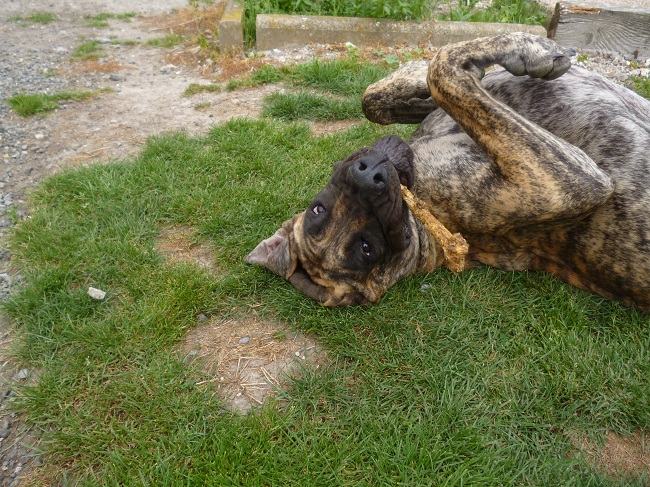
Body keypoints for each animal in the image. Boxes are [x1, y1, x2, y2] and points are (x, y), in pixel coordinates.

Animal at [246, 33, 650, 311]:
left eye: (318, 208)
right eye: (367, 249)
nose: (367, 175)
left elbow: (376, 96)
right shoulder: (560, 181)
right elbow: (442, 68)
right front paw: (528, 48)